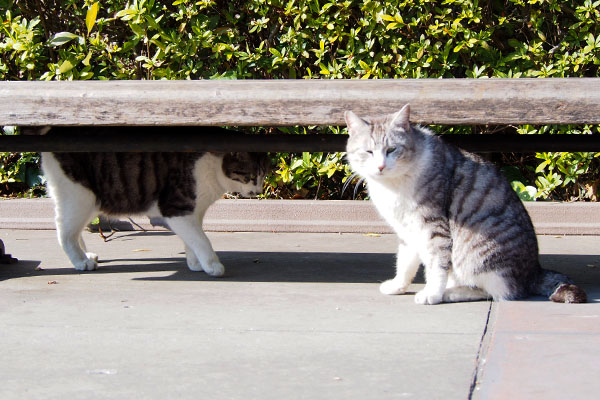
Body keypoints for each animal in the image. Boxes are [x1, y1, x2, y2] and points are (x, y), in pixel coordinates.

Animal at [41, 126, 268, 276]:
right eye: (250, 176)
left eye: (264, 175)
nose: (258, 191)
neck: (213, 167)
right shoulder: (176, 209)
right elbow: (202, 239)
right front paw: (212, 265)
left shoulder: (193, 213)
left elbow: (192, 239)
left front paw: (195, 263)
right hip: (81, 196)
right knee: (64, 231)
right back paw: (80, 261)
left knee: (73, 227)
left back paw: (86, 255)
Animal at [346, 104, 584, 304]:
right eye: (369, 152)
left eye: (392, 150)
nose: (380, 166)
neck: (392, 185)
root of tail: (535, 271)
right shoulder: (407, 228)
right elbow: (406, 260)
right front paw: (398, 285)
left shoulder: (433, 225)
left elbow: (436, 264)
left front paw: (432, 293)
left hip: (478, 255)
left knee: (498, 292)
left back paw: (448, 293)